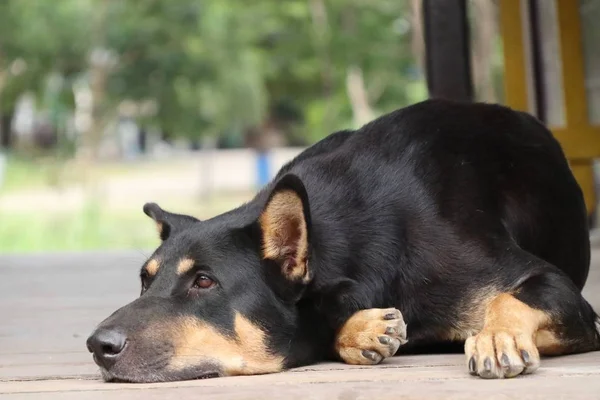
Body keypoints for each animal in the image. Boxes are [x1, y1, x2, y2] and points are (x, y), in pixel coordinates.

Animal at [86, 99, 596, 382]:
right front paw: (363, 329)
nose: (97, 346)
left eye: (204, 282)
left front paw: (495, 336)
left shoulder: (562, 293)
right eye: (144, 281)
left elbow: (507, 299)